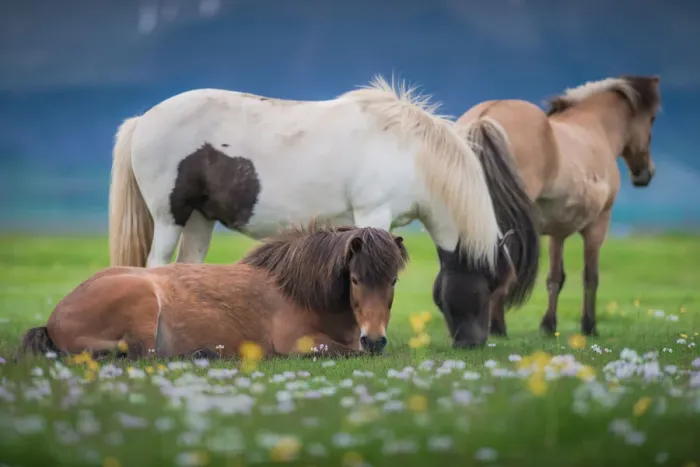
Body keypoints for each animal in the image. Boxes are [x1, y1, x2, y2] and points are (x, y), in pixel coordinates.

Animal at [18, 224, 409, 360]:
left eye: (393, 281)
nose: (375, 339)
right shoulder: (300, 343)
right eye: (355, 279)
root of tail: (53, 320)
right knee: (145, 357)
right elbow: (351, 353)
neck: (296, 291)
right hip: (143, 304)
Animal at [107, 75, 540, 348]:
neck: (410, 151)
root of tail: (143, 120)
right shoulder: (373, 214)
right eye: (488, 286)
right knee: (155, 265)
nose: (473, 344)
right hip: (170, 219)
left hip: (201, 220)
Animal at [456, 75, 661, 337]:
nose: (646, 173)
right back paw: (497, 326)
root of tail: (484, 117)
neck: (596, 128)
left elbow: (555, 277)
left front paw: (548, 325)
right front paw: (589, 326)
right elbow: (590, 277)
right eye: (652, 119)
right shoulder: (598, 225)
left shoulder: (557, 232)